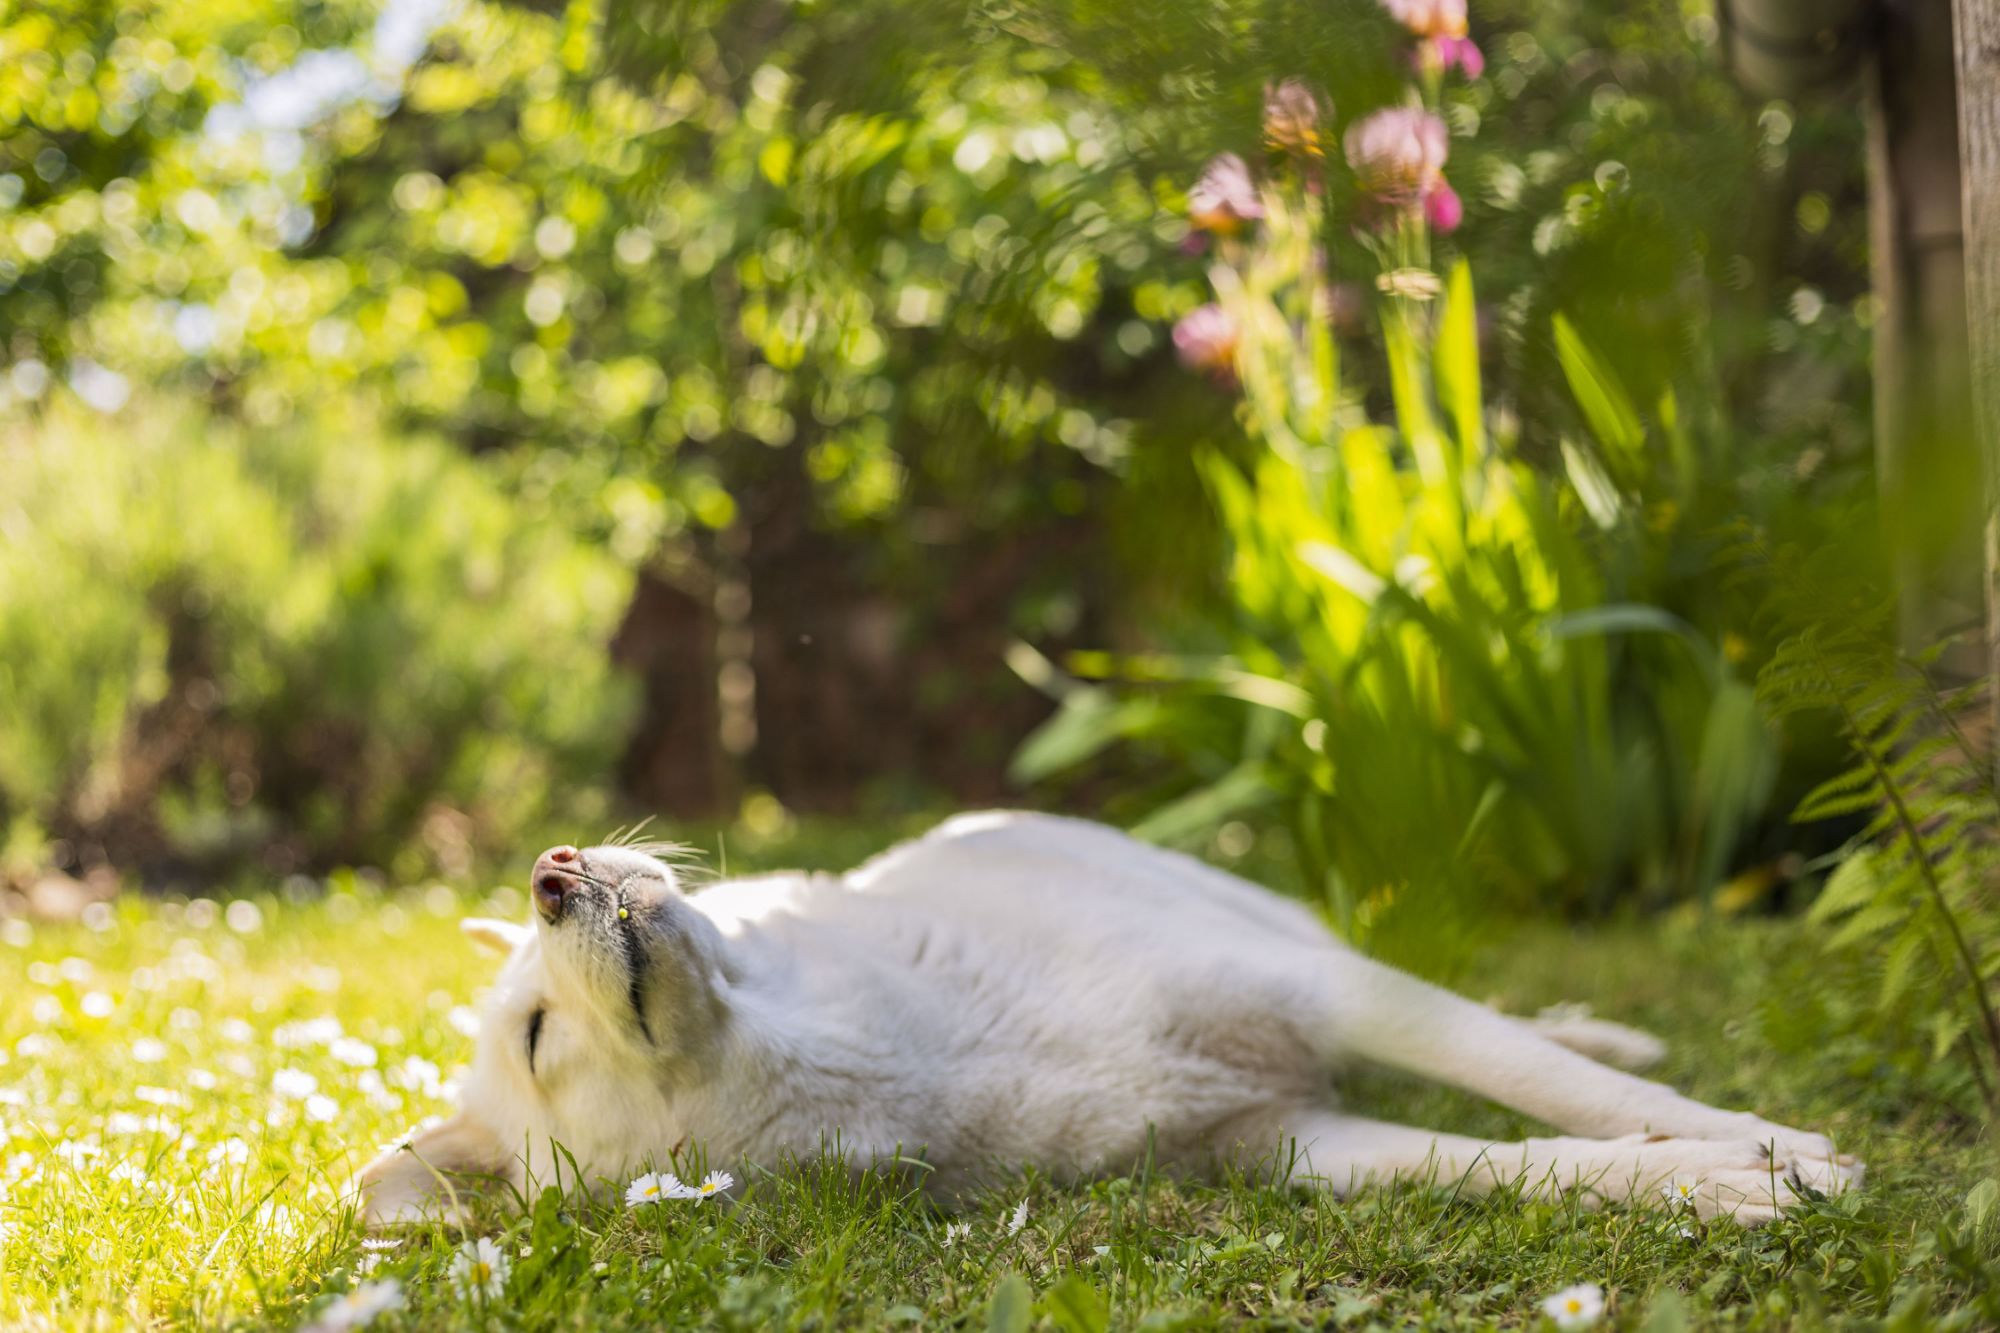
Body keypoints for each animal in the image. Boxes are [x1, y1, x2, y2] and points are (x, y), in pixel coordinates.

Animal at [359, 812, 1860, 1226]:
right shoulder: (1284, 1141)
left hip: (1281, 932)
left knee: (1521, 1025)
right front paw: (1719, 1183)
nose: (553, 870)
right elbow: (1531, 1161)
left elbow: (1563, 1092)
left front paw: (1761, 1142)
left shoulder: (1319, 996)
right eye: (536, 1037)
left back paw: (1610, 1028)